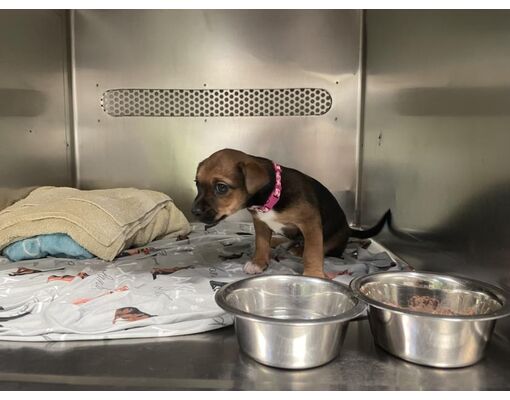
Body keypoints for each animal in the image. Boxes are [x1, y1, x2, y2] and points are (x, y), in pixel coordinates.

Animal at [191, 148, 390, 276]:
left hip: (333, 240)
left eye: (221, 187)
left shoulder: (310, 223)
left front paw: (313, 274)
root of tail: (350, 229)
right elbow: (261, 244)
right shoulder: (261, 223)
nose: (194, 211)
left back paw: (298, 249)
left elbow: (312, 252)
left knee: (318, 247)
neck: (274, 194)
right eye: (197, 183)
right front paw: (258, 263)